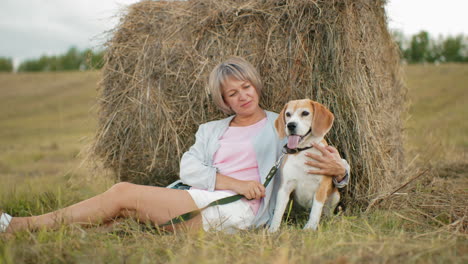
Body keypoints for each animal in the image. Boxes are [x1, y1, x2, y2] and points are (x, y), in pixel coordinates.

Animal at [270, 99, 340, 231]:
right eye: (288, 114)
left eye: (305, 113)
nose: (291, 125)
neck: (304, 150)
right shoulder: (285, 188)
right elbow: (278, 211)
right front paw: (273, 229)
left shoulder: (321, 187)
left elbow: (316, 210)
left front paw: (310, 228)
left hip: (335, 195)